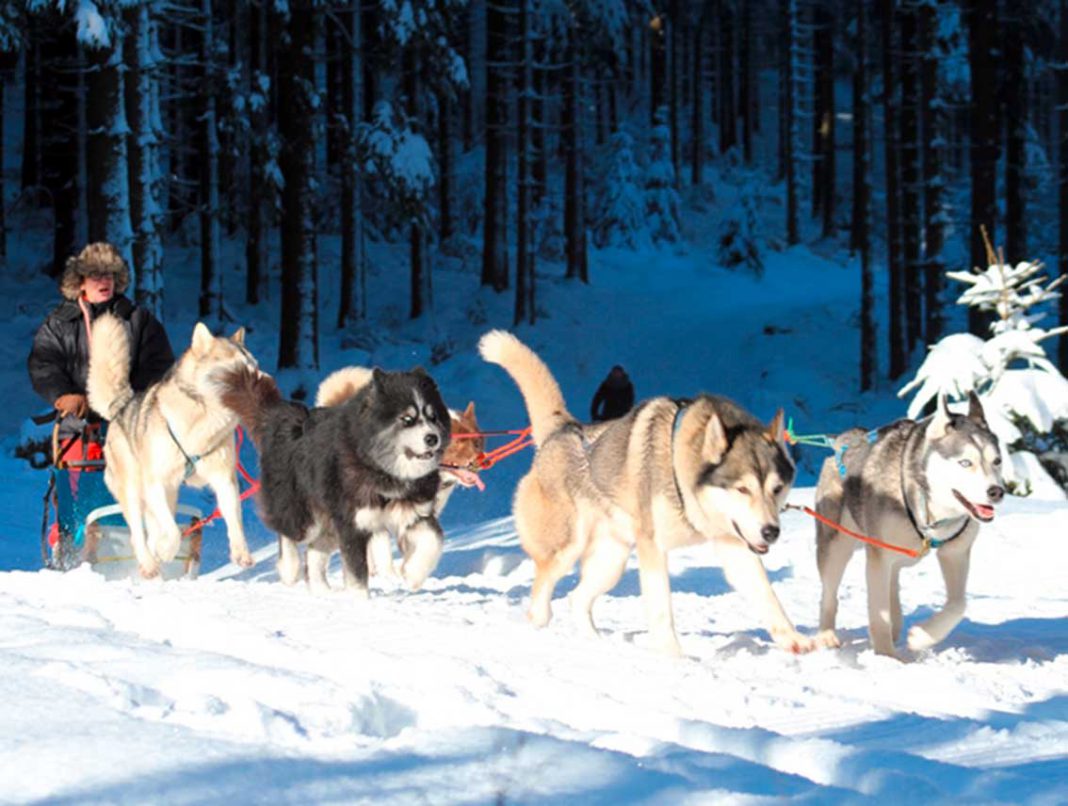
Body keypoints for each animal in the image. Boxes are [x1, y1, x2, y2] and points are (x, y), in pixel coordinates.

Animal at [88, 311, 258, 576]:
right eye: (237, 367)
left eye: (254, 366)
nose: (261, 382)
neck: (203, 420)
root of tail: (122, 406)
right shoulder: (157, 483)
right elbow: (173, 530)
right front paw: (167, 550)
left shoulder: (225, 481)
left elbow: (234, 521)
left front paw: (241, 553)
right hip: (135, 490)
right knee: (139, 534)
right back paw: (149, 563)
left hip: (168, 495)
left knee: (152, 531)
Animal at [223, 362, 448, 597]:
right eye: (407, 419)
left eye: (433, 417)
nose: (432, 438)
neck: (380, 470)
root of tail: (283, 418)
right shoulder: (353, 525)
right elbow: (357, 575)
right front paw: (361, 602)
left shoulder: (415, 513)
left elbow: (434, 541)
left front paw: (413, 574)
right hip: (305, 516)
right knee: (289, 535)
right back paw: (289, 569)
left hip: (330, 523)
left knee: (314, 551)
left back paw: (322, 591)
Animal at [480, 328, 820, 657]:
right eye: (742, 488)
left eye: (777, 488)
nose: (771, 531)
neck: (680, 471)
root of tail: (563, 430)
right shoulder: (653, 547)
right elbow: (661, 610)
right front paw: (672, 656)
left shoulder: (735, 546)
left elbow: (767, 596)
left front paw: (792, 639)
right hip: (566, 549)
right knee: (542, 597)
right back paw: (540, 629)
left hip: (611, 563)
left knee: (577, 599)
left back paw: (594, 643)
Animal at [815, 394, 999, 657]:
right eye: (965, 463)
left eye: (997, 461)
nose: (996, 491)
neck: (930, 508)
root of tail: (840, 442)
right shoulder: (879, 555)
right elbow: (878, 614)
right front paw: (886, 658)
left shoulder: (955, 553)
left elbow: (958, 605)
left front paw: (921, 637)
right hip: (836, 546)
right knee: (830, 596)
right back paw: (827, 636)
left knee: (892, 587)